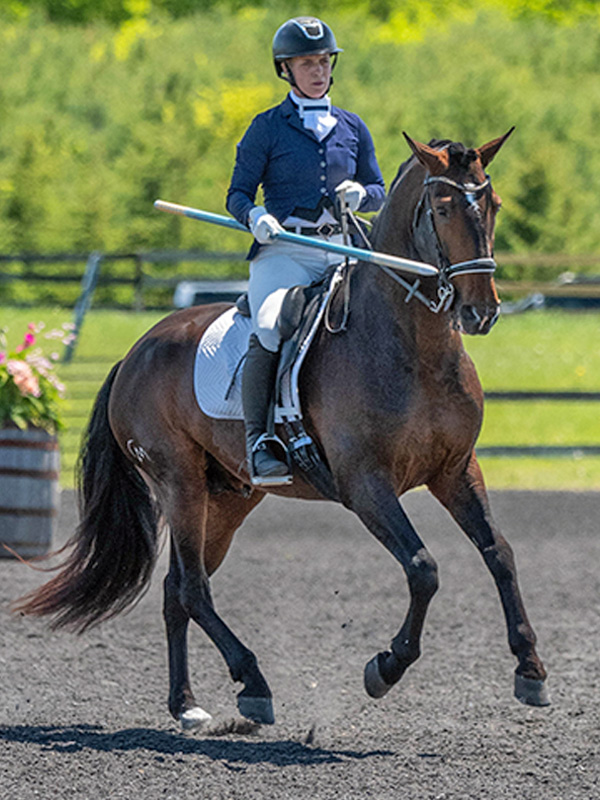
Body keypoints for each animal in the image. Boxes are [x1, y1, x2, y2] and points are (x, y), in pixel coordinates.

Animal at [15, 130, 549, 730]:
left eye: (494, 204)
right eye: (441, 208)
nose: (481, 312)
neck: (414, 347)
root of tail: (137, 350)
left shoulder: (455, 470)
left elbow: (499, 553)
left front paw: (530, 670)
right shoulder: (366, 485)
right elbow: (423, 568)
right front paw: (385, 667)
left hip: (228, 498)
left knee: (178, 588)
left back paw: (187, 704)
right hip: (178, 482)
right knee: (194, 588)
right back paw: (253, 683)